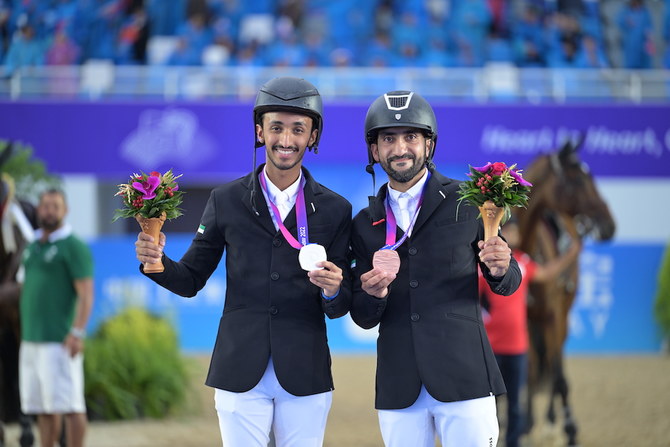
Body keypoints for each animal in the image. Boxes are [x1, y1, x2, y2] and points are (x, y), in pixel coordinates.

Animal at [520, 138, 620, 446]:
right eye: (577, 180)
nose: (609, 224)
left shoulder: (552, 316)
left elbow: (559, 375)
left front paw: (569, 429)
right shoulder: (523, 320)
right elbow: (528, 373)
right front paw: (525, 426)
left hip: (562, 316)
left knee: (555, 366)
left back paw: (554, 421)